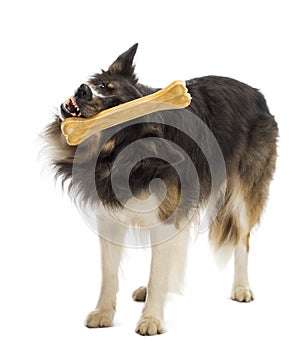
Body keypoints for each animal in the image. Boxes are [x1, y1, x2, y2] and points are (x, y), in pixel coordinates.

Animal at [42, 43, 278, 334]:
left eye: (114, 112)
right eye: (102, 85)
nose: (83, 90)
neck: (116, 155)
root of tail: (256, 92)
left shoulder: (166, 216)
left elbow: (158, 270)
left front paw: (151, 318)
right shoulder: (110, 218)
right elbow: (109, 272)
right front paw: (104, 313)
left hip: (245, 193)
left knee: (242, 239)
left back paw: (242, 287)